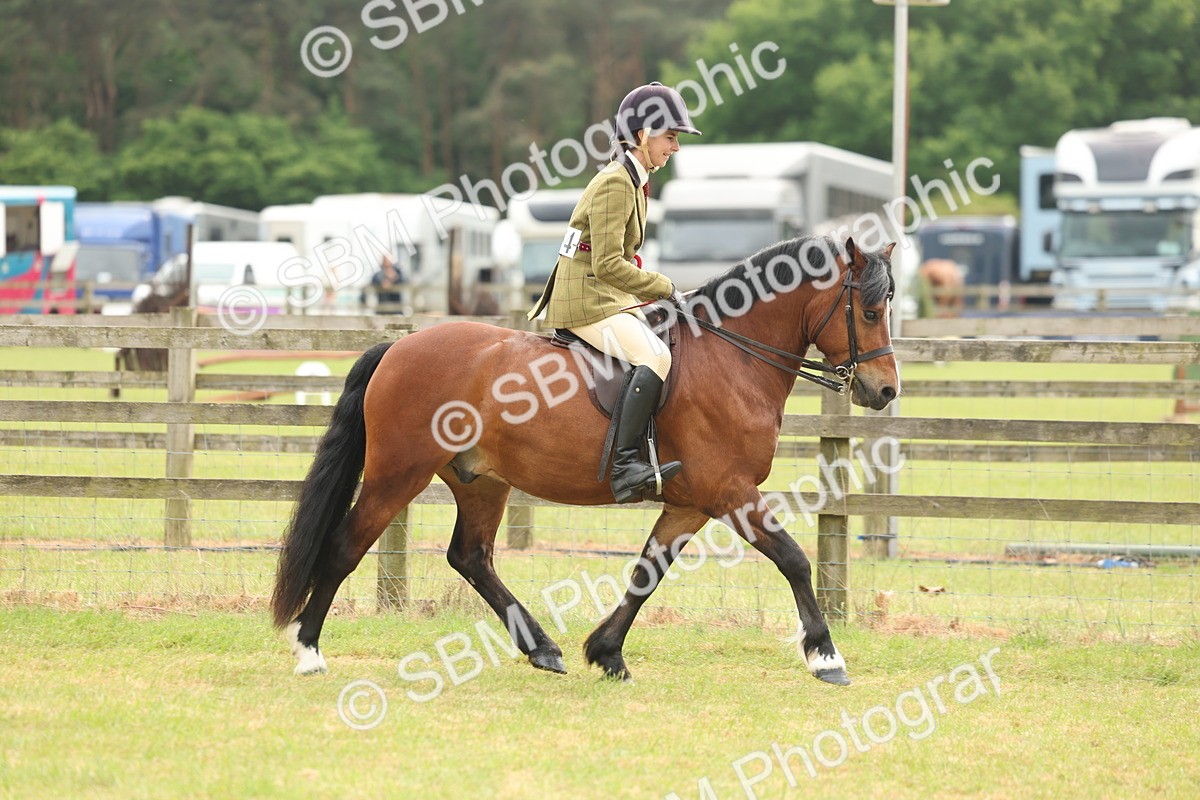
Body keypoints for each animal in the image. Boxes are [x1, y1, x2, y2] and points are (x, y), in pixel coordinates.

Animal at [271, 235, 899, 686]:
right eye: (869, 311)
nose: (886, 391)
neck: (732, 356)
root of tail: (397, 346)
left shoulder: (692, 503)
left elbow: (647, 573)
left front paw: (606, 653)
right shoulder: (730, 491)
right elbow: (793, 559)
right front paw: (826, 656)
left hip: (481, 481)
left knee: (470, 556)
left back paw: (543, 649)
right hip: (396, 475)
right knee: (344, 548)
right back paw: (308, 651)